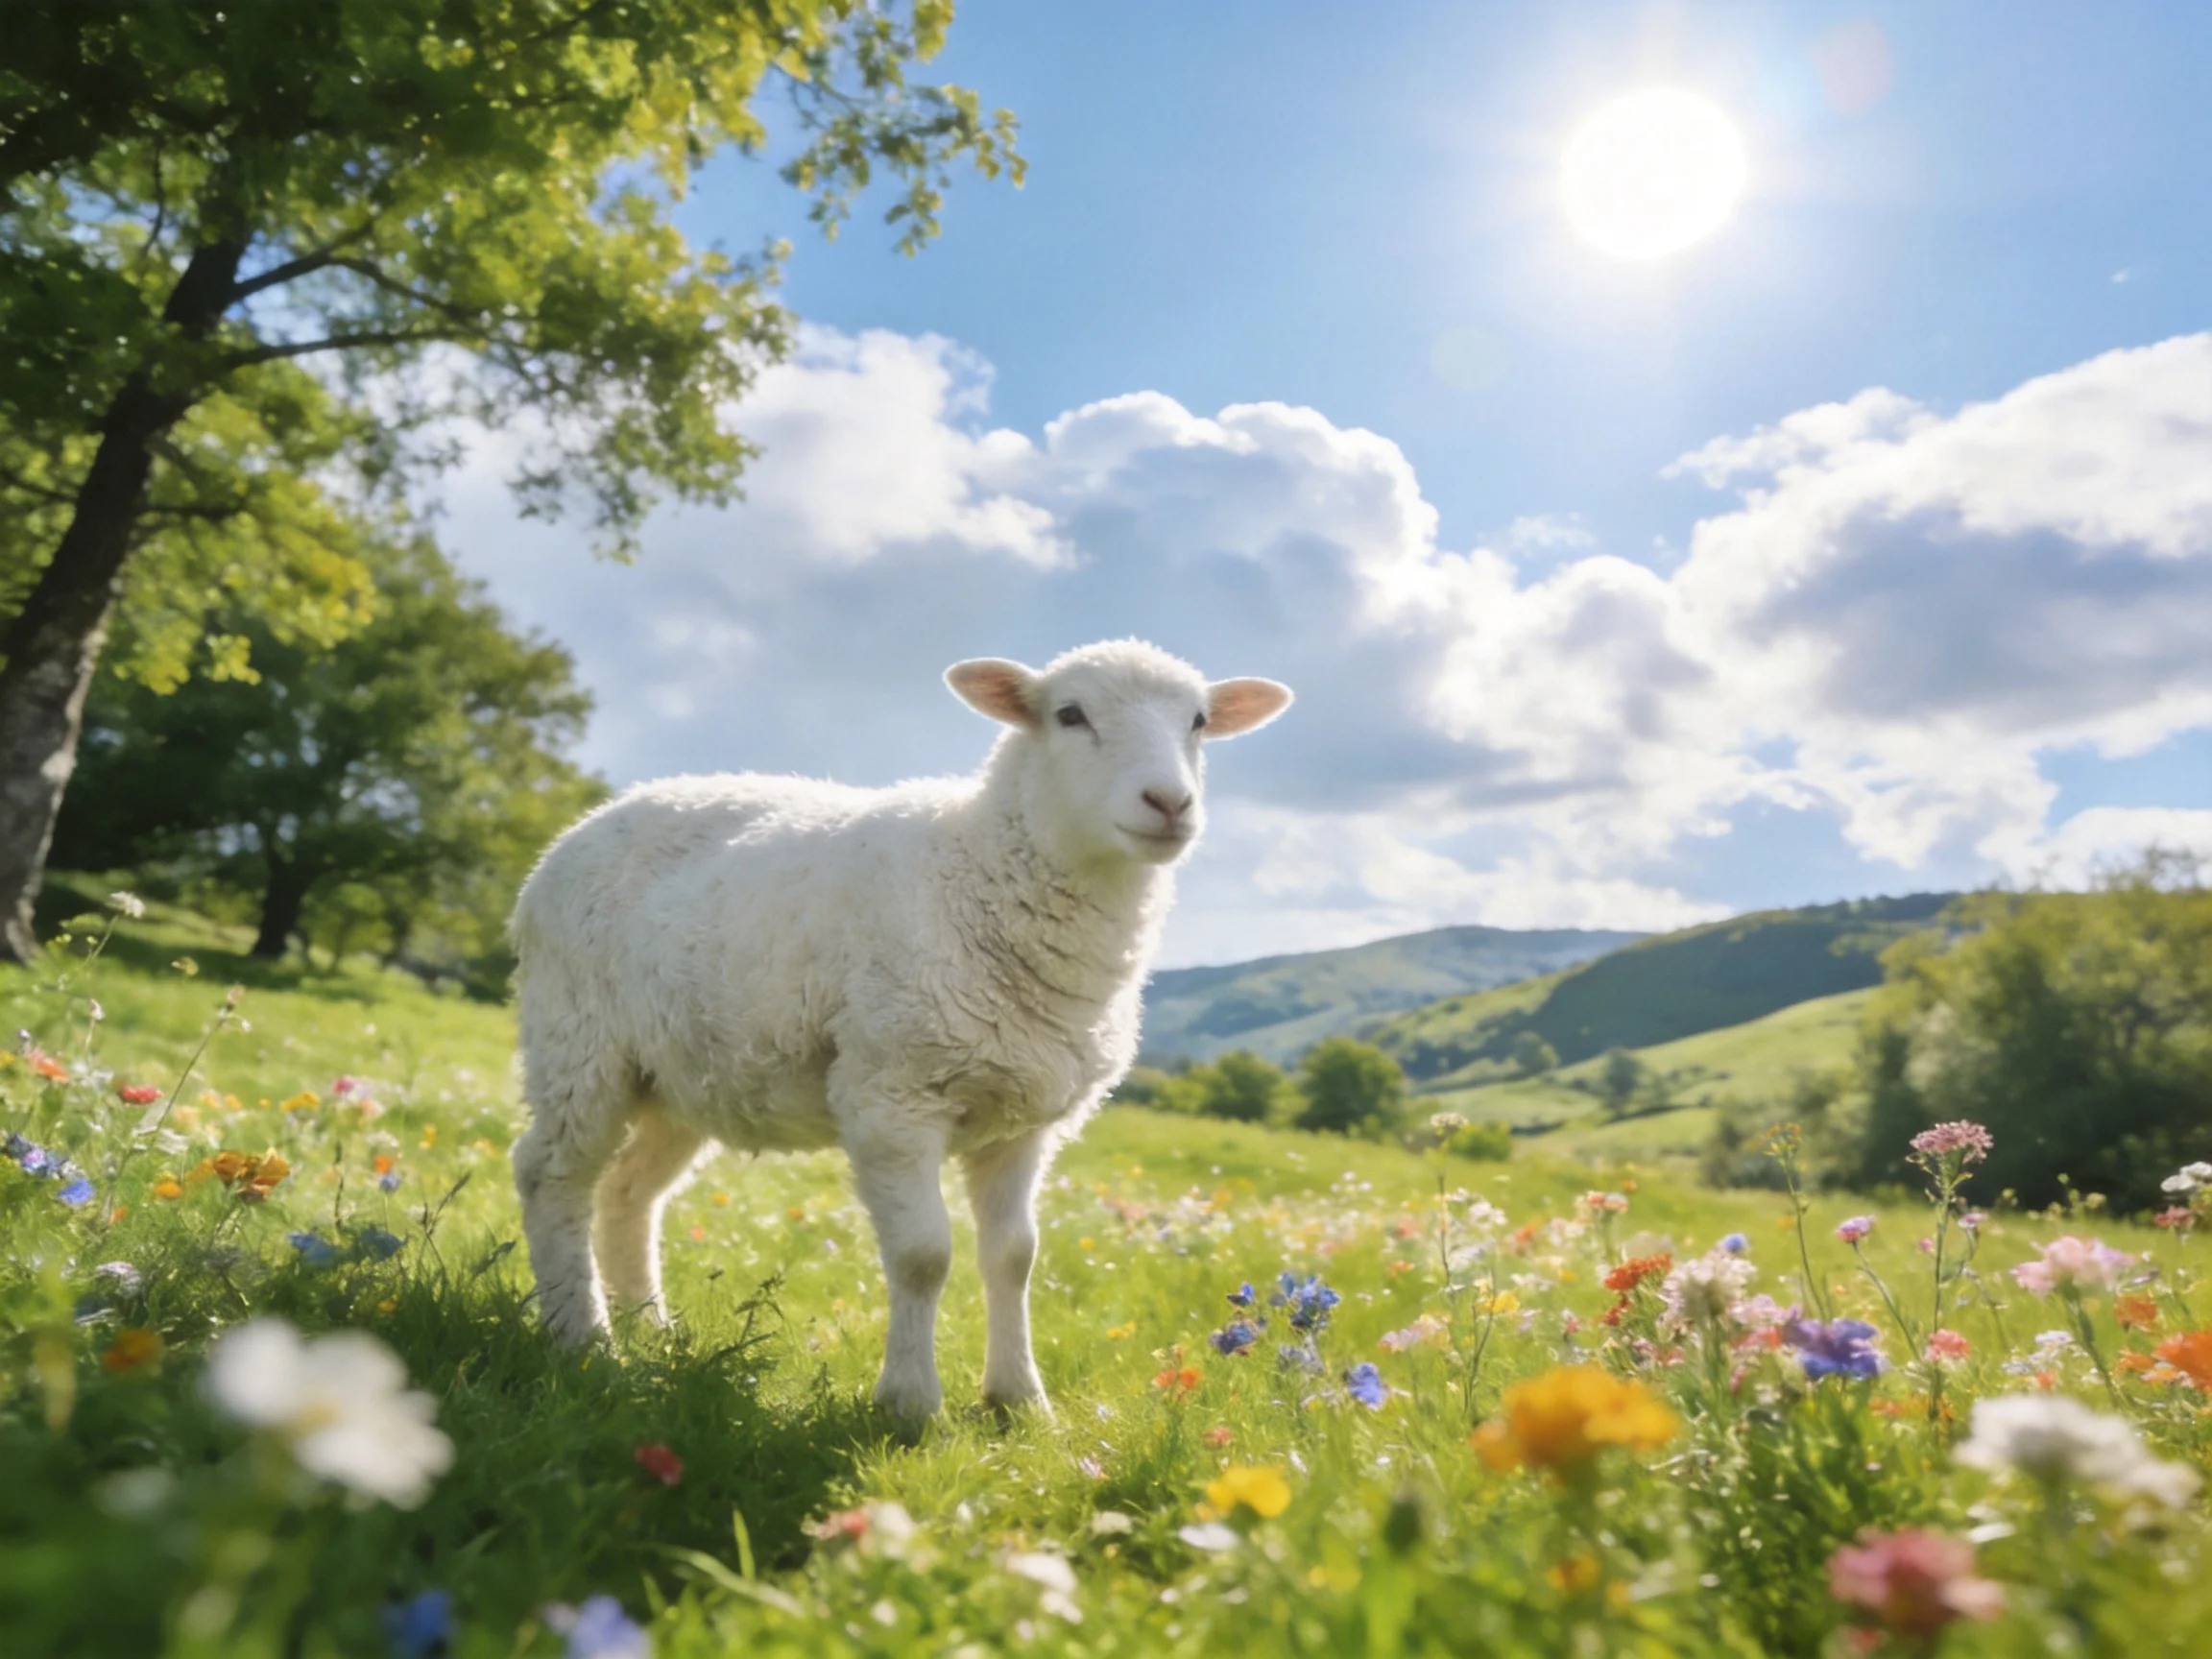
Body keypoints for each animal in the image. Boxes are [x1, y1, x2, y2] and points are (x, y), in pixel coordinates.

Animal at [509, 639, 1292, 1417]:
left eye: (1197, 721)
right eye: (1070, 714)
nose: (1170, 803)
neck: (980, 868)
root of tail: (577, 831)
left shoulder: (1024, 1122)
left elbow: (1015, 1257)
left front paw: (1019, 1399)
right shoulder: (891, 1096)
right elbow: (923, 1257)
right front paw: (910, 1404)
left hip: (680, 1073)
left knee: (628, 1192)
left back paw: (651, 1333)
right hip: (578, 1039)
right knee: (550, 1174)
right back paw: (583, 1340)